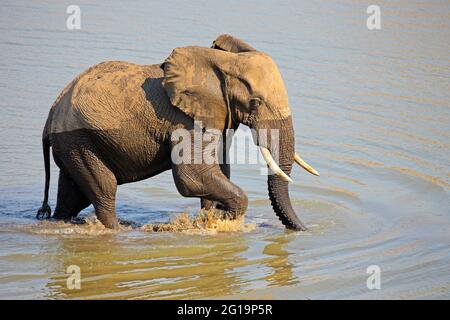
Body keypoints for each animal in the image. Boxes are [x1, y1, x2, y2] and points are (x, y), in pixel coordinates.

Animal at [37, 34, 318, 230]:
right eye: (256, 102)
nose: (305, 230)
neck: (223, 62)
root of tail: (50, 115)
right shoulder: (185, 121)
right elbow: (192, 176)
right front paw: (223, 219)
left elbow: (218, 170)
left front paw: (212, 218)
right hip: (80, 140)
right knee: (104, 189)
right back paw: (118, 230)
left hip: (74, 144)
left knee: (72, 196)